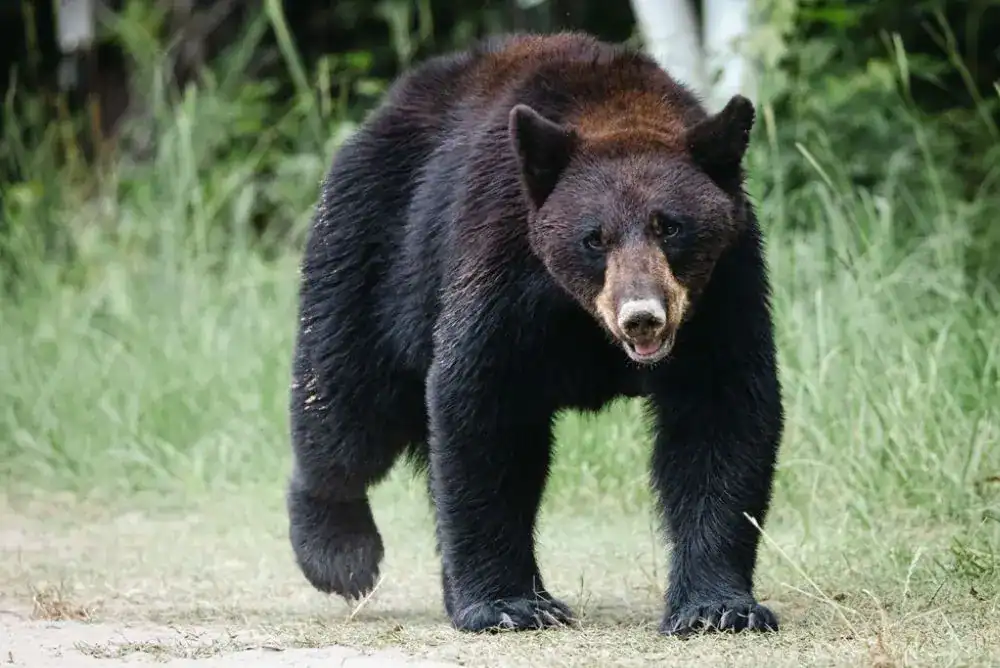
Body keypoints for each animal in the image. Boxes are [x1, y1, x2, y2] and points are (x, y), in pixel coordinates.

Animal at [286, 31, 784, 637]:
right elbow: (483, 408)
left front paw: (719, 607)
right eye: (594, 238)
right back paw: (338, 553)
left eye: (670, 227)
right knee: (347, 404)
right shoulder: (503, 264)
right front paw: (510, 604)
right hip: (373, 249)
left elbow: (723, 413)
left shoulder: (725, 291)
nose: (642, 316)